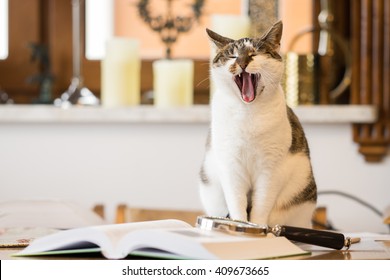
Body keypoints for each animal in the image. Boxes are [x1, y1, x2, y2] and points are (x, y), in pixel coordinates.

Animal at [198, 21, 316, 228]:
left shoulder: (270, 170)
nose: (242, 63)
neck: (248, 114)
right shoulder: (231, 166)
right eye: (233, 56)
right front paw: (238, 225)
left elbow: (261, 207)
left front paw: (258, 228)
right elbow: (236, 203)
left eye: (254, 54)